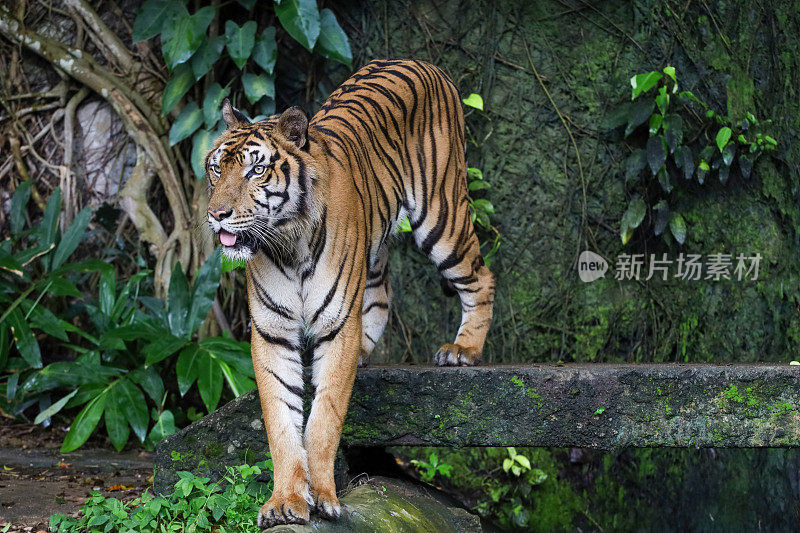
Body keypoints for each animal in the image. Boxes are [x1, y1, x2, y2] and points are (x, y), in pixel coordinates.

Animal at [206, 59, 494, 528]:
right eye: (217, 169)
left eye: (256, 170)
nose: (217, 214)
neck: (288, 244)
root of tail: (424, 62)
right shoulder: (271, 333)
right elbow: (281, 424)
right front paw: (286, 500)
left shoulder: (337, 325)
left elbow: (324, 419)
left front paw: (324, 497)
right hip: (375, 250)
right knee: (383, 293)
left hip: (443, 214)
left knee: (480, 276)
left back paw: (464, 349)